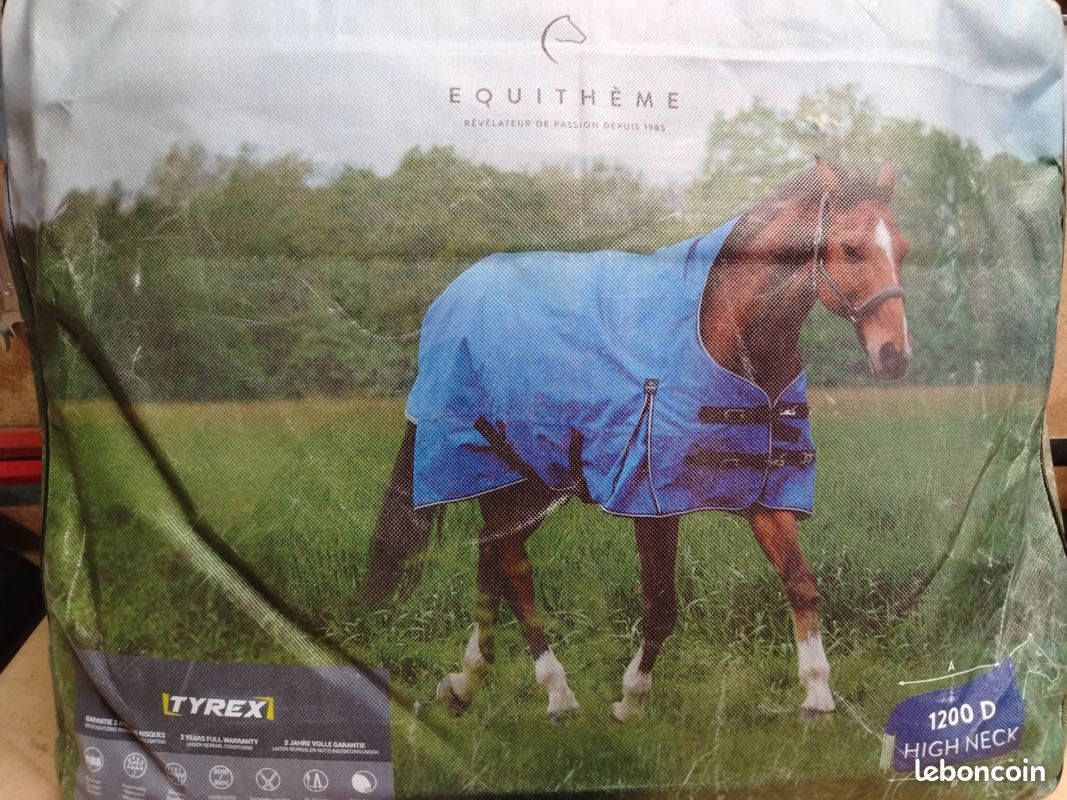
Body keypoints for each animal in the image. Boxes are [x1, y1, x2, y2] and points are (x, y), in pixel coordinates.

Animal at [362, 159, 911, 723]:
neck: (727, 332)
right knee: (512, 567)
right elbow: (661, 605)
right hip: (501, 473)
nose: (895, 354)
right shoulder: (652, 502)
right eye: (850, 248)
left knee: (494, 557)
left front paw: (817, 694)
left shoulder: (763, 490)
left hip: (534, 482)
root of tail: (452, 299)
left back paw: (466, 682)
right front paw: (631, 698)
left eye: (905, 250)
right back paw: (556, 692)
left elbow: (802, 583)